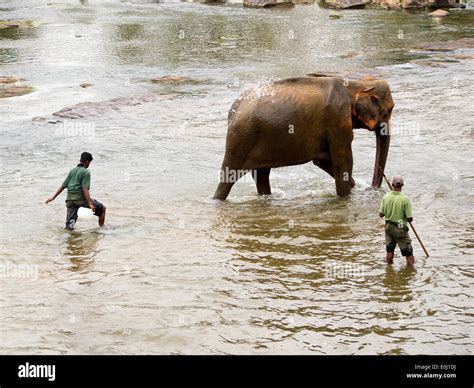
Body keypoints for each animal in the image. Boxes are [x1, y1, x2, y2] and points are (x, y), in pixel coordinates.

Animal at [213, 74, 394, 200]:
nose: (374, 188)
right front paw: (346, 196)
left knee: (262, 175)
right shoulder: (337, 119)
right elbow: (343, 161)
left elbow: (322, 160)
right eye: (389, 110)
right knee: (229, 176)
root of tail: (234, 109)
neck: (356, 85)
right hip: (241, 138)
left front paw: (353, 185)